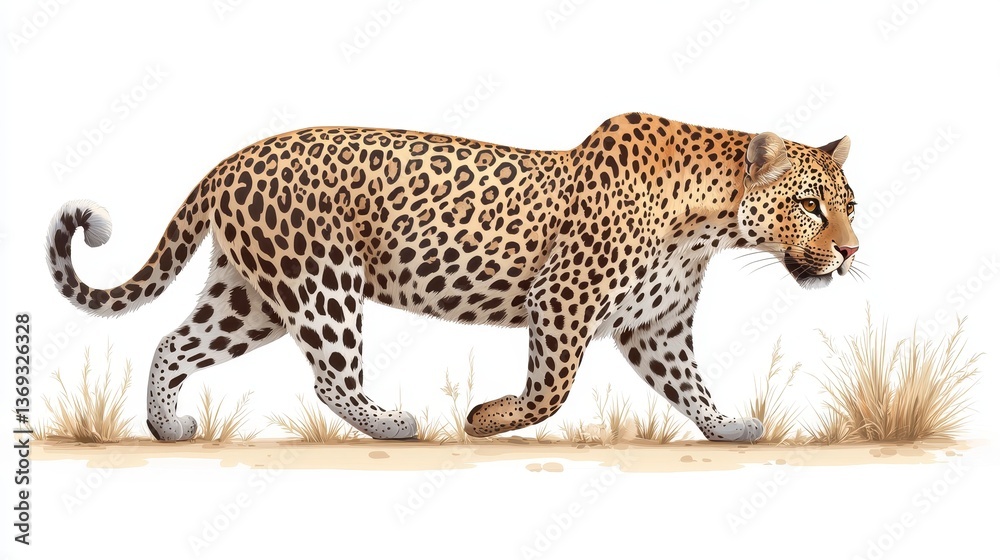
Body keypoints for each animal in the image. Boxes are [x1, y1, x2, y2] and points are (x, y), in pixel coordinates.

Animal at [46, 112, 859, 442]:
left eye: (849, 207)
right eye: (810, 206)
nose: (851, 253)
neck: (708, 224)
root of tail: (230, 160)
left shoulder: (655, 325)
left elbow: (691, 384)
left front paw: (728, 427)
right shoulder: (562, 298)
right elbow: (552, 391)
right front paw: (484, 418)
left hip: (251, 297)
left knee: (172, 343)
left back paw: (166, 426)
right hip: (320, 280)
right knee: (331, 375)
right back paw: (394, 424)